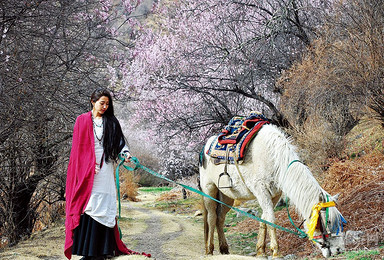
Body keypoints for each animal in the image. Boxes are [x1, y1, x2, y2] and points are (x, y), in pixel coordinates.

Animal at [200, 124, 346, 258]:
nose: (339, 250)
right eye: (328, 222)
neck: (275, 159)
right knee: (212, 217)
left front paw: (261, 251)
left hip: (227, 197)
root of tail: (205, 148)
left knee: (220, 218)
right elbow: (271, 219)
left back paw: (224, 248)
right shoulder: (261, 191)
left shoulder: (275, 195)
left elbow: (264, 218)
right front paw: (276, 251)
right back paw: (209, 249)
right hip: (209, 190)